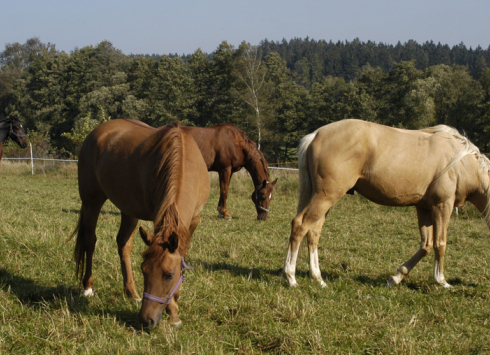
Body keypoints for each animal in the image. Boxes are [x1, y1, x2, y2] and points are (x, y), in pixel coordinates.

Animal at [72, 119, 210, 328]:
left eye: (169, 275)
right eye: (144, 271)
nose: (147, 320)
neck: (184, 160)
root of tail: (97, 132)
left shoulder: (193, 221)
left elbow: (182, 257)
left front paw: (175, 306)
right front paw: (173, 312)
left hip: (129, 209)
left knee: (123, 244)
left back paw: (132, 293)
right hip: (91, 201)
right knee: (90, 241)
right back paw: (88, 288)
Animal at [282, 119, 490, 290]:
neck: (461, 163)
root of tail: (316, 134)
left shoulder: (423, 208)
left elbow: (426, 245)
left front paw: (395, 278)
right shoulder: (442, 206)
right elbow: (440, 243)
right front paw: (442, 281)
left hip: (322, 198)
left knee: (313, 232)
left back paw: (318, 279)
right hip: (325, 196)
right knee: (300, 225)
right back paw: (291, 278)